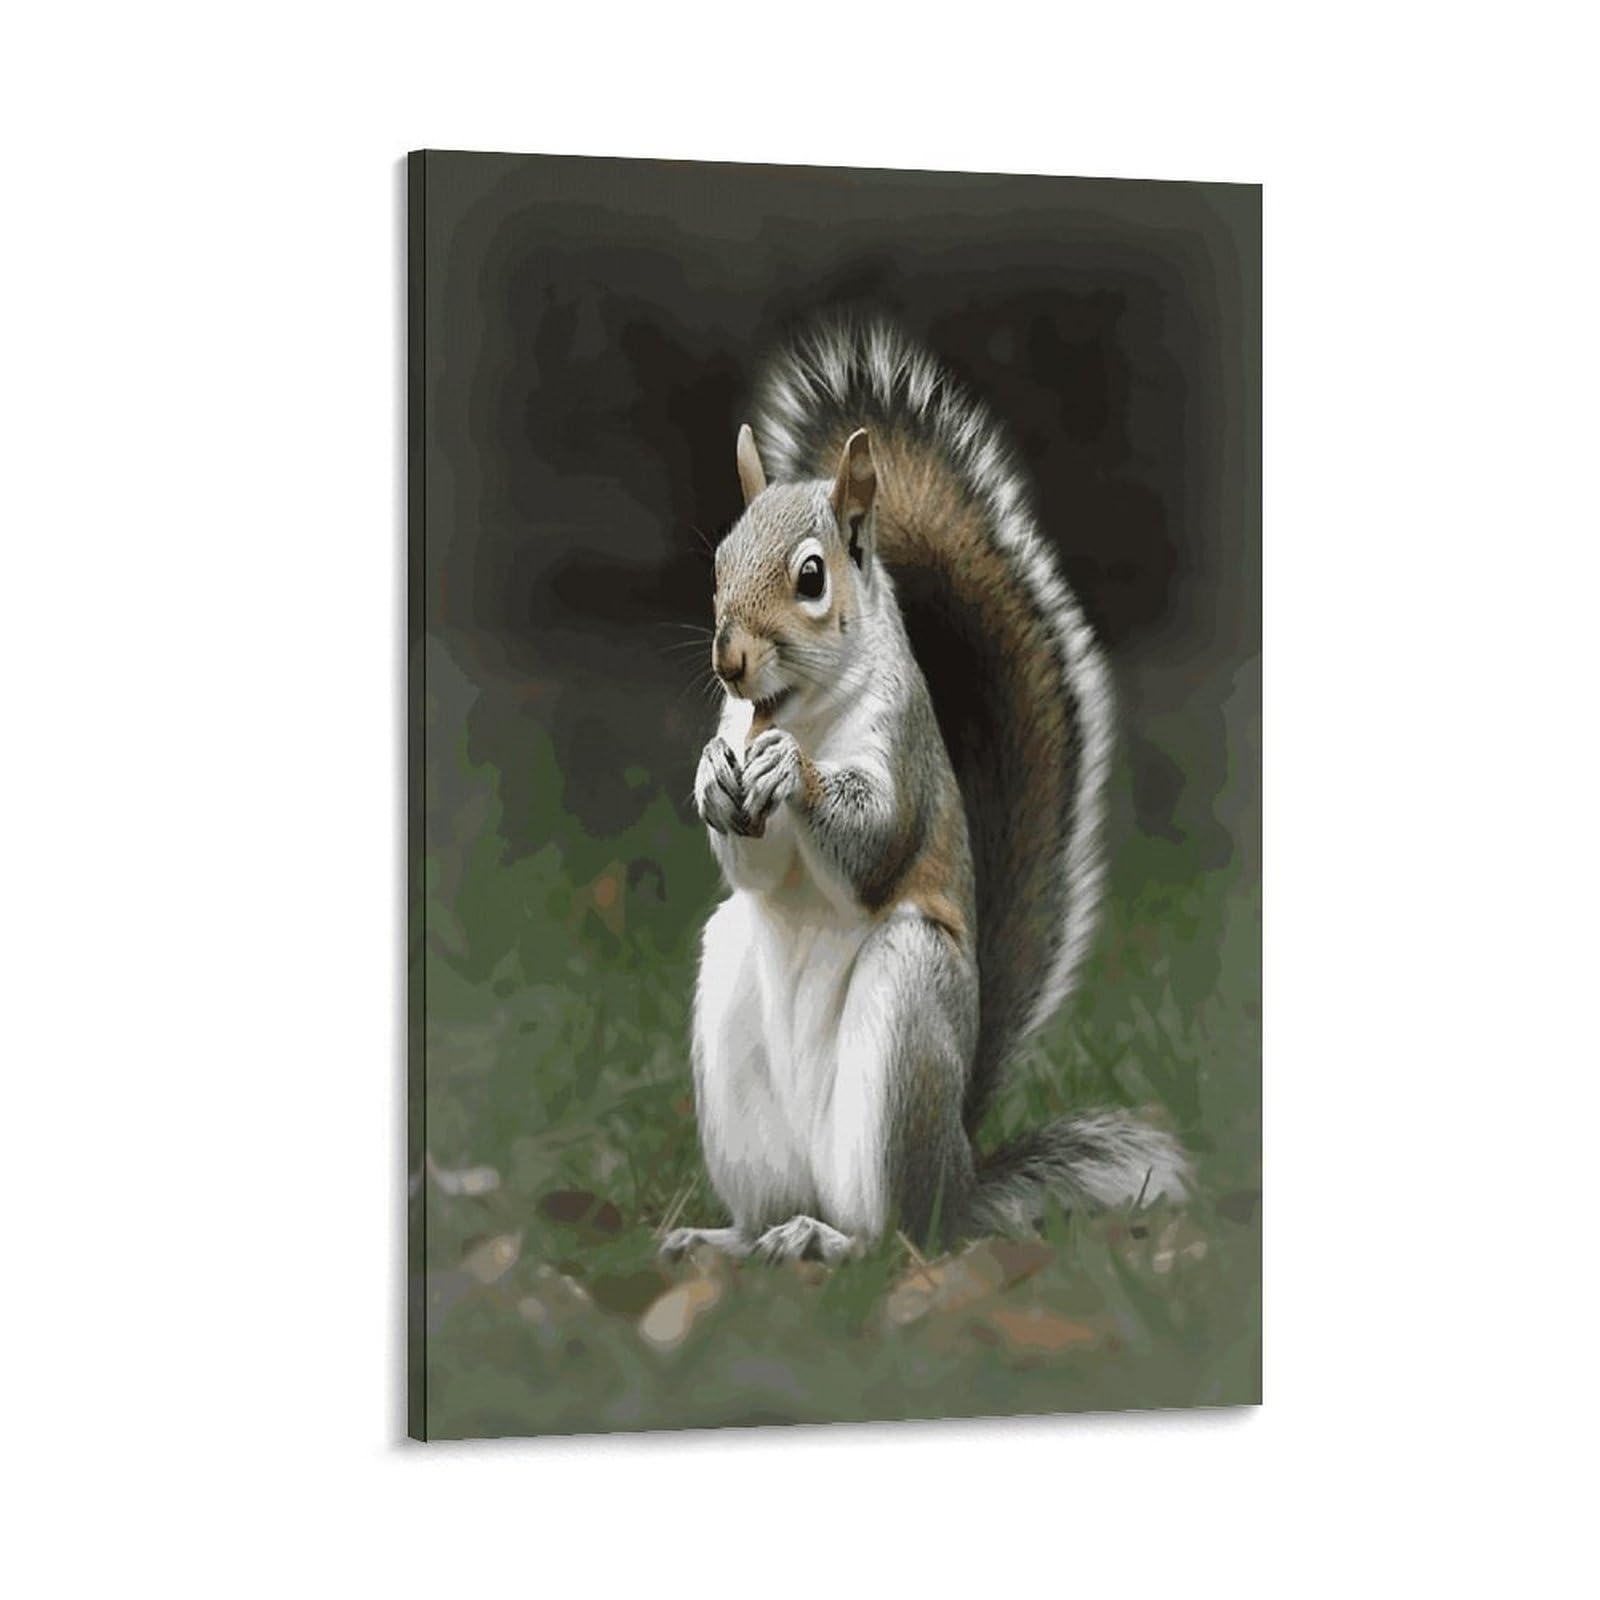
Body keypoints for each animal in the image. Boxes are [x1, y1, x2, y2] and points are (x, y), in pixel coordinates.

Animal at [661, 319, 1189, 1266]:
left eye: (810, 577)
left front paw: (790, 773)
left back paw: (830, 1241)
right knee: (770, 1208)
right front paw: (714, 776)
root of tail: (959, 1178)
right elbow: (751, 864)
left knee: (895, 1235)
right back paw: (729, 1240)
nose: (730, 659)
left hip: (906, 1021)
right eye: (717, 565)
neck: (804, 712)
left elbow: (878, 843)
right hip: (734, 1027)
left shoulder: (900, 747)